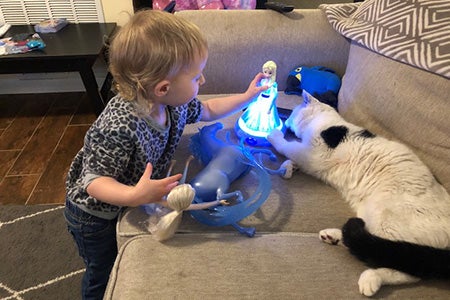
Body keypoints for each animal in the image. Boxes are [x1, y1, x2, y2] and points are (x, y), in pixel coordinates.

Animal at [268, 92, 450, 298]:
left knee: (404, 267)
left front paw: (273, 134)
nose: (285, 121)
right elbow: (293, 158)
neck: (328, 122)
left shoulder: (312, 155)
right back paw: (333, 236)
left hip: (388, 223)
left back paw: (371, 278)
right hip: (370, 216)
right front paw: (287, 168)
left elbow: (287, 146)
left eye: (292, 113)